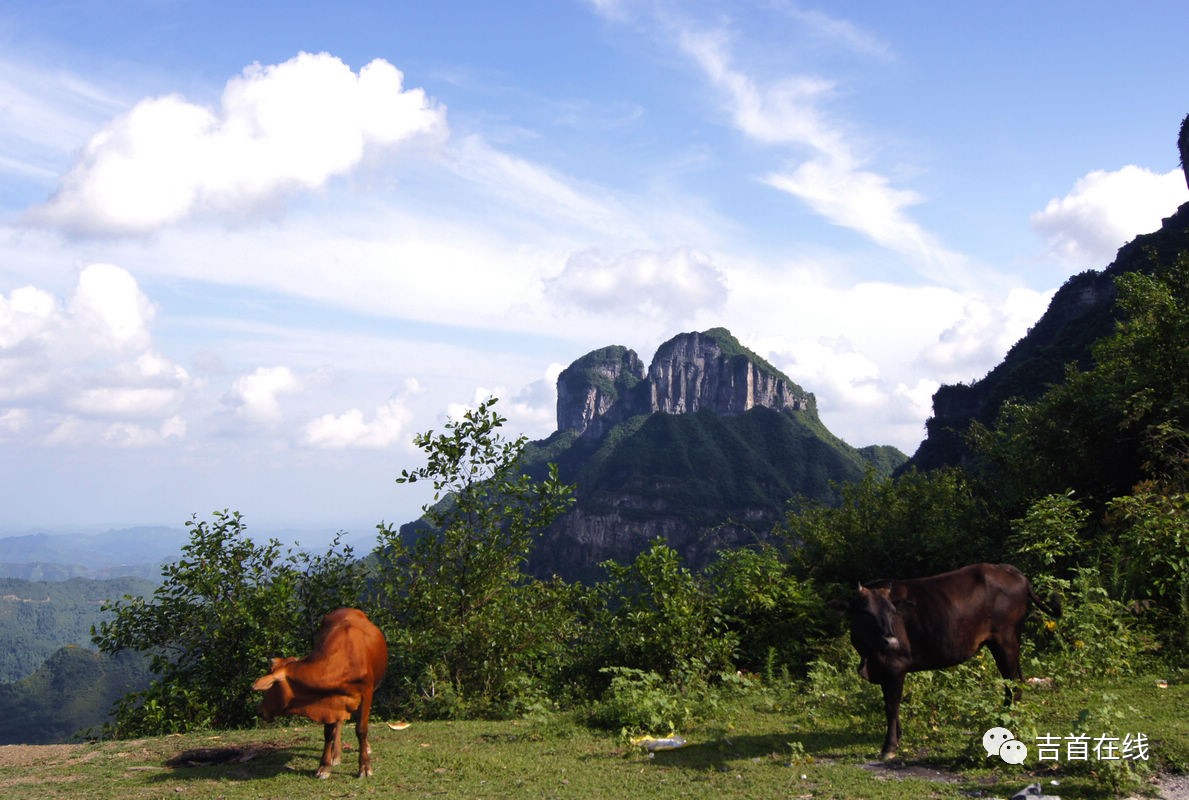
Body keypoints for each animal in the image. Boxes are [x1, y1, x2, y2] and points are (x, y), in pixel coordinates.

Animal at [253, 608, 387, 775]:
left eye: (270, 687)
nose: (259, 710)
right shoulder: (328, 700)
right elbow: (328, 732)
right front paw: (324, 766)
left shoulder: (367, 692)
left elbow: (361, 729)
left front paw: (365, 767)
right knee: (339, 724)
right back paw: (336, 754)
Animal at [832, 565, 1055, 756]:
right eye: (865, 612)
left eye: (892, 612)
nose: (892, 641)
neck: (868, 656)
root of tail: (1013, 572)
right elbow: (889, 703)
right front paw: (898, 736)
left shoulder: (895, 667)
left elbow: (891, 706)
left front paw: (889, 746)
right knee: (1018, 680)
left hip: (1005, 641)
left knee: (1013, 682)